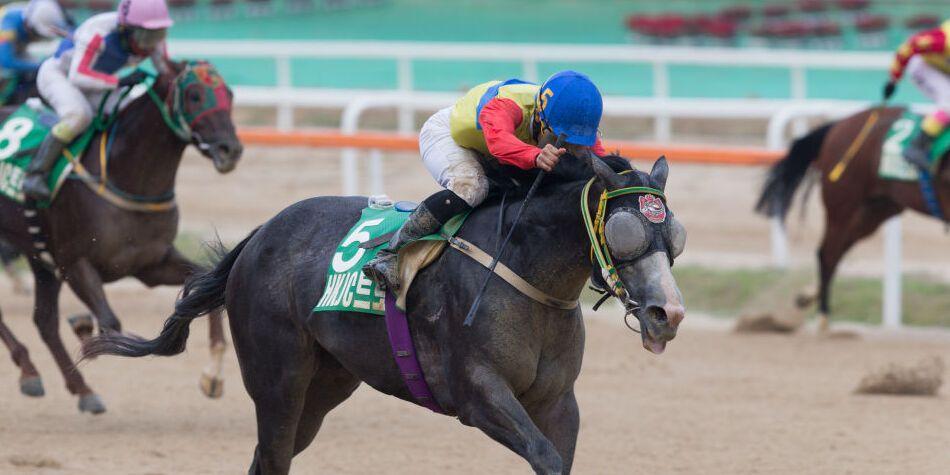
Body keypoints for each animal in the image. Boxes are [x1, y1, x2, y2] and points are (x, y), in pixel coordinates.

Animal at [0, 59, 242, 412]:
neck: (126, 176)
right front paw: (85, 328)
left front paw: (212, 377)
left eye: (230, 94)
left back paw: (75, 388)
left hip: (38, 256)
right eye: (194, 95)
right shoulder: (75, 262)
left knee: (44, 322)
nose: (230, 149)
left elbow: (200, 288)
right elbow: (110, 323)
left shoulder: (150, 264)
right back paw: (30, 367)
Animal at [85, 154, 688, 474]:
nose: (669, 312)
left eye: (675, 237)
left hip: (326, 386)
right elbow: (540, 453)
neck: (524, 271)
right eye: (627, 232)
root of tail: (259, 234)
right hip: (277, 380)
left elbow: (556, 456)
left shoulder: (558, 401)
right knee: (272, 454)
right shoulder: (478, 393)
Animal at [760, 107, 944, 330]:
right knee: (828, 253)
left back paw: (806, 297)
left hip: (875, 210)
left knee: (839, 250)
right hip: (842, 205)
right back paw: (823, 317)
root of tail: (838, 125)